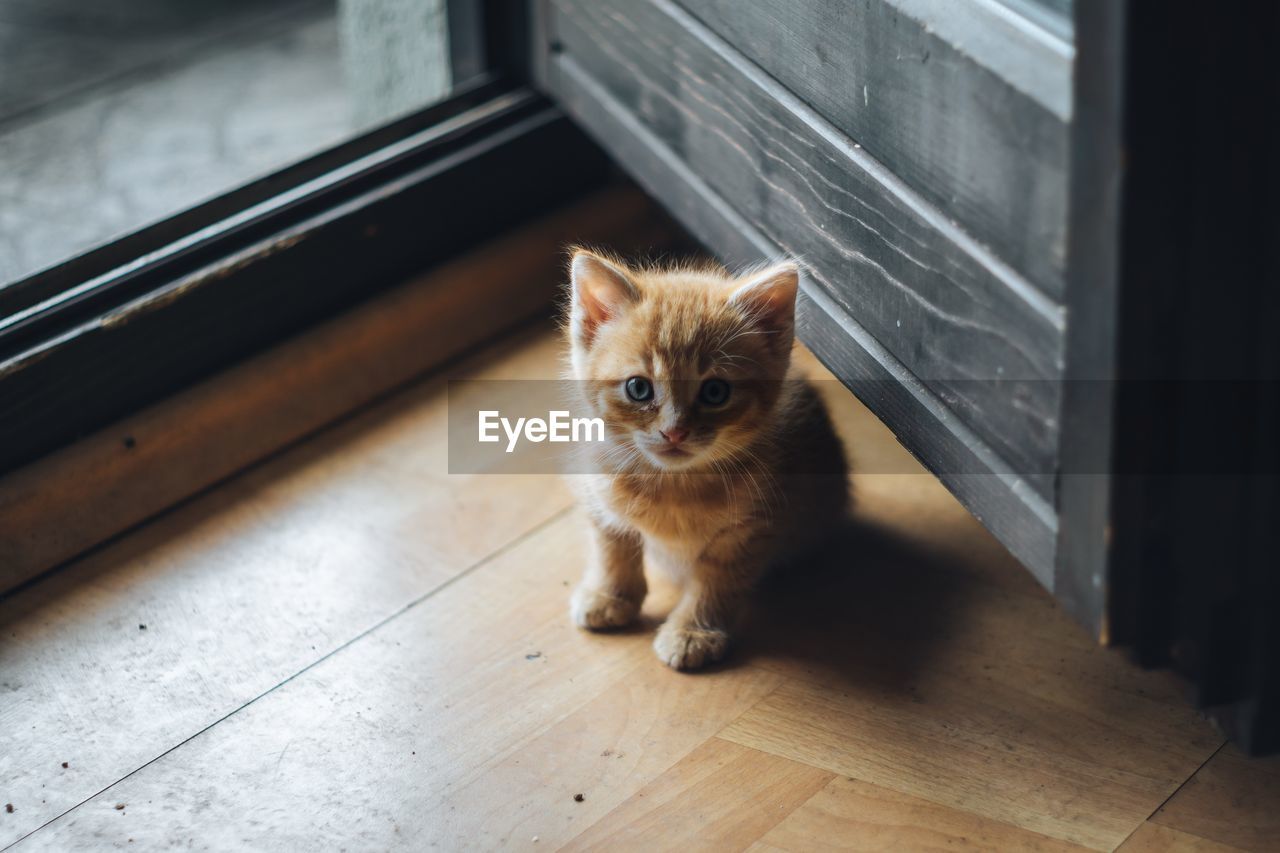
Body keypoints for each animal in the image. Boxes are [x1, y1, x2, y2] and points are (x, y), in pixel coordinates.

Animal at [563, 249, 849, 666]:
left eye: (715, 392)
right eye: (638, 388)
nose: (674, 432)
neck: (673, 486)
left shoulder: (750, 529)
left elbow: (718, 580)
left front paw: (693, 631)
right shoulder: (597, 487)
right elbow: (612, 543)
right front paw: (609, 594)